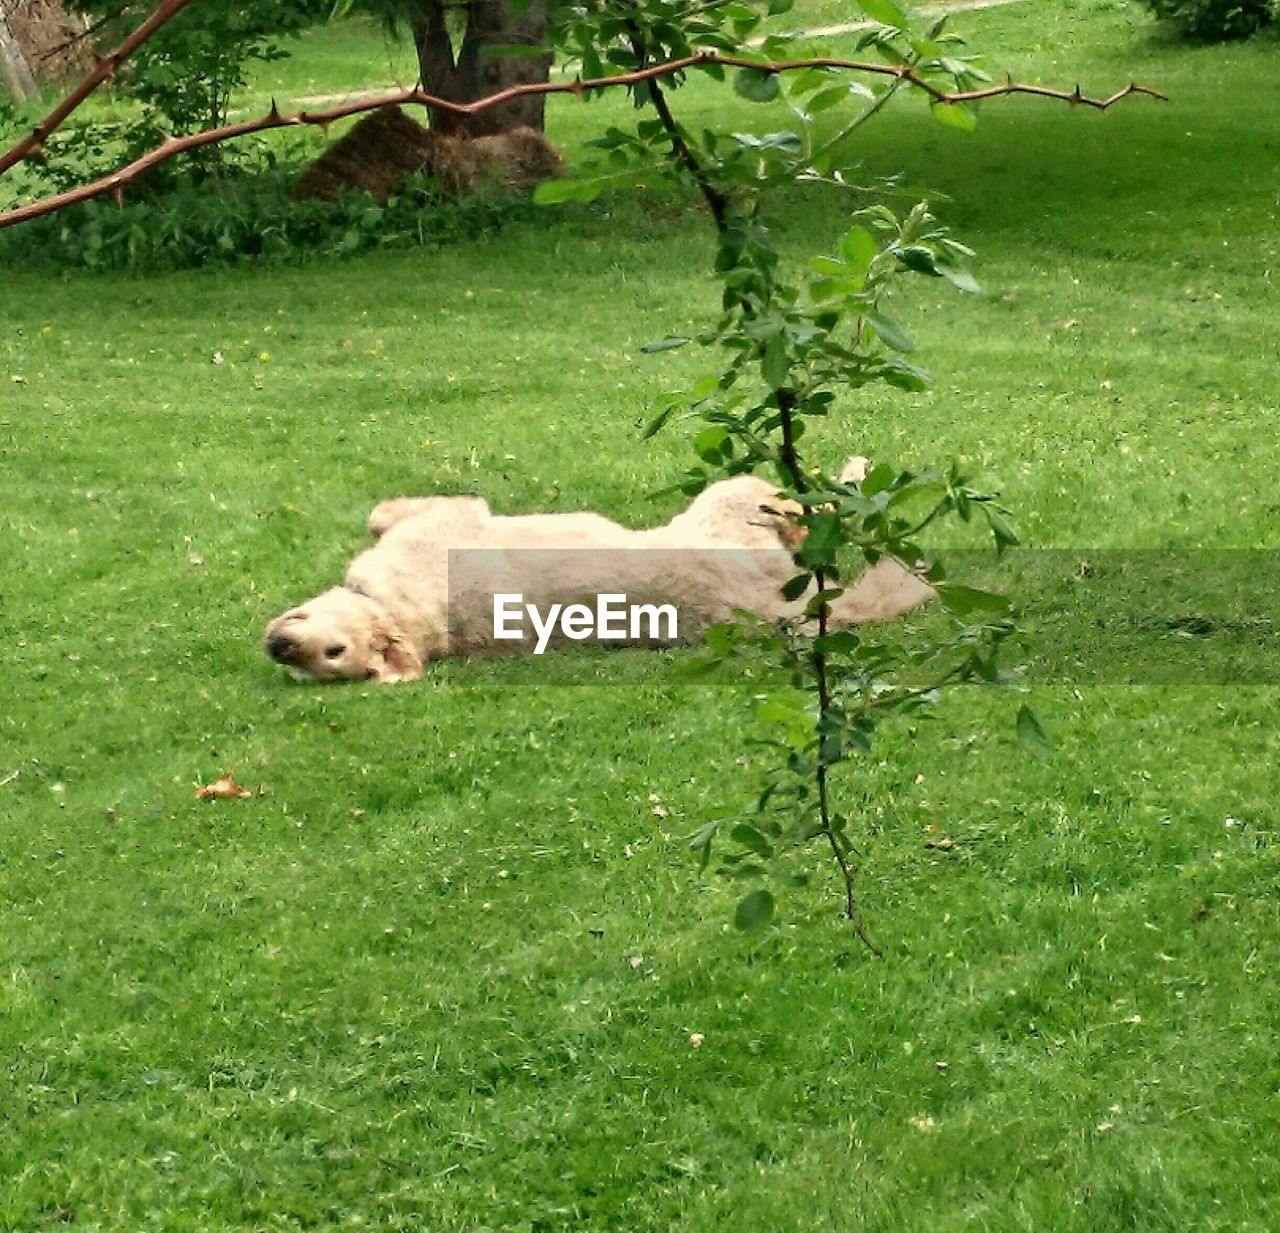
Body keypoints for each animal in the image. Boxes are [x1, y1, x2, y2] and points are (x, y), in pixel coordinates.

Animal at [262, 468, 942, 691]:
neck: (400, 610)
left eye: (333, 652)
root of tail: (760, 609)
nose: (278, 648)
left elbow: (380, 512)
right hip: (742, 504)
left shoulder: (445, 515)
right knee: (820, 512)